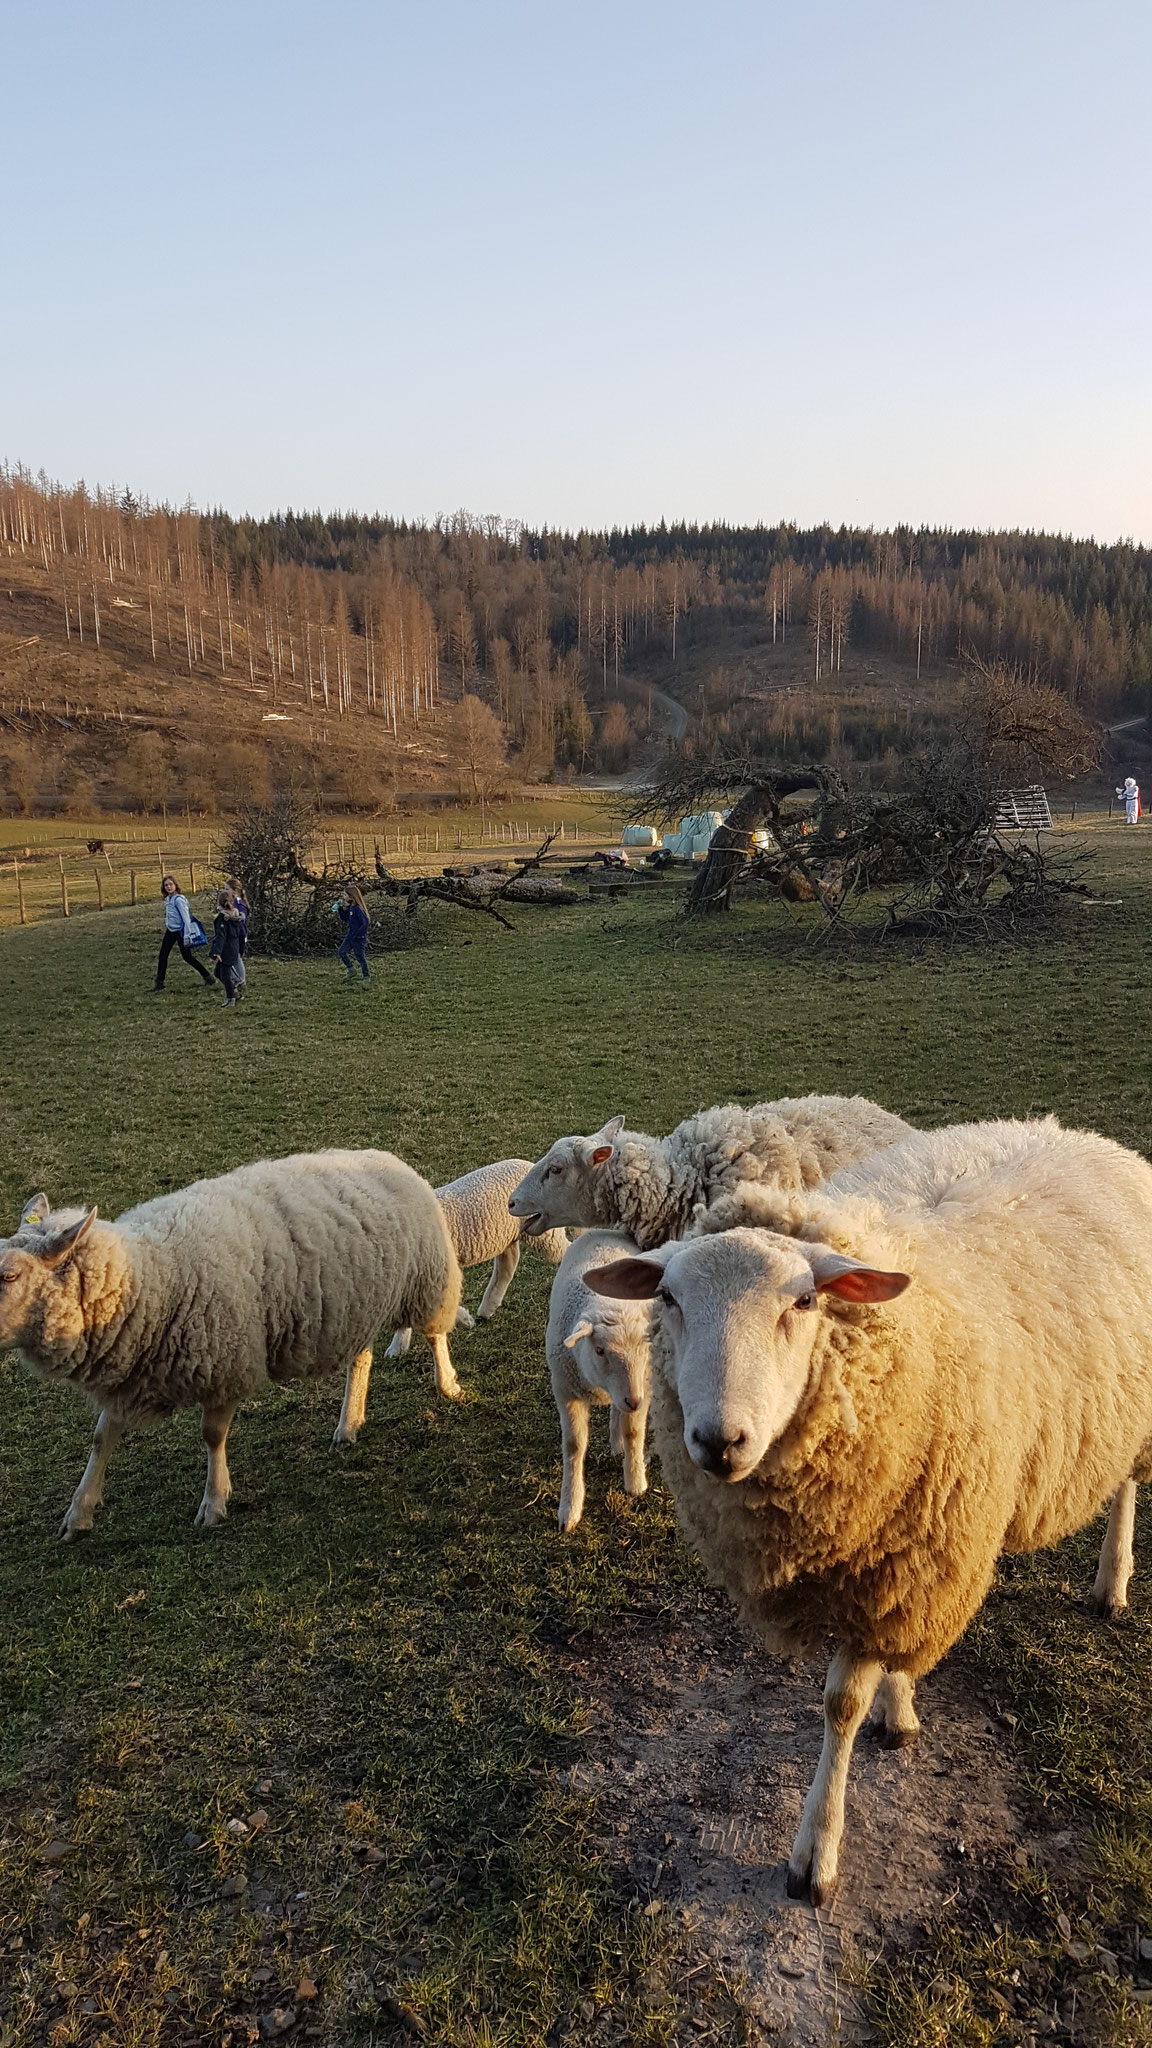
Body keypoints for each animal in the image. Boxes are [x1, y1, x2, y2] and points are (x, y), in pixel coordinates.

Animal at [5, 1155, 461, 1540]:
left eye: (10, 1275)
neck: (148, 1274)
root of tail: (390, 1159)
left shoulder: (226, 1362)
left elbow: (212, 1435)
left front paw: (214, 1502)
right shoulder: (128, 1372)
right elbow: (102, 1439)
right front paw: (78, 1514)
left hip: (426, 1280)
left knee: (436, 1332)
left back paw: (448, 1384)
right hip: (356, 1307)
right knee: (362, 1358)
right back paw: (349, 1423)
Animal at [330, 1163, 565, 1449]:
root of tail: (526, 1164)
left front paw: (459, 1321)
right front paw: (398, 1346)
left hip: (546, 1233)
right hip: (506, 1234)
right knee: (508, 1262)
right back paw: (487, 1308)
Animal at [541, 1220, 651, 1531]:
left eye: (646, 1347)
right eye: (600, 1350)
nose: (634, 1401)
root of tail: (604, 1230)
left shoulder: (645, 1385)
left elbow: (634, 1432)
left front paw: (635, 1482)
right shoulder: (565, 1389)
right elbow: (574, 1446)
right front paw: (569, 1509)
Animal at [582, 1122, 1147, 1900]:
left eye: (803, 1304)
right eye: (666, 1296)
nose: (719, 1441)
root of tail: (1086, 1136)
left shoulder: (916, 1544)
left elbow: (839, 1705)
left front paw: (815, 1854)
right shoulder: (908, 1550)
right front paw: (898, 1704)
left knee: (1125, 1487)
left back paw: (1112, 1583)